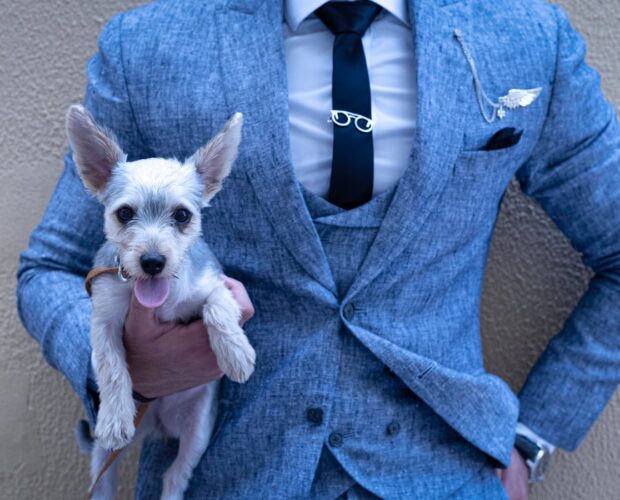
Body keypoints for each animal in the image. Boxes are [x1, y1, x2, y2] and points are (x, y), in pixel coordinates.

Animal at [68, 103, 260, 498]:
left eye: (182, 215)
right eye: (125, 213)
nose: (153, 261)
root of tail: (156, 423)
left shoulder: (216, 285)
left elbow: (218, 309)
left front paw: (235, 353)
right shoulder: (104, 320)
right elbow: (111, 366)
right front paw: (115, 415)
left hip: (198, 432)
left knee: (174, 476)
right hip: (103, 456)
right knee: (103, 483)